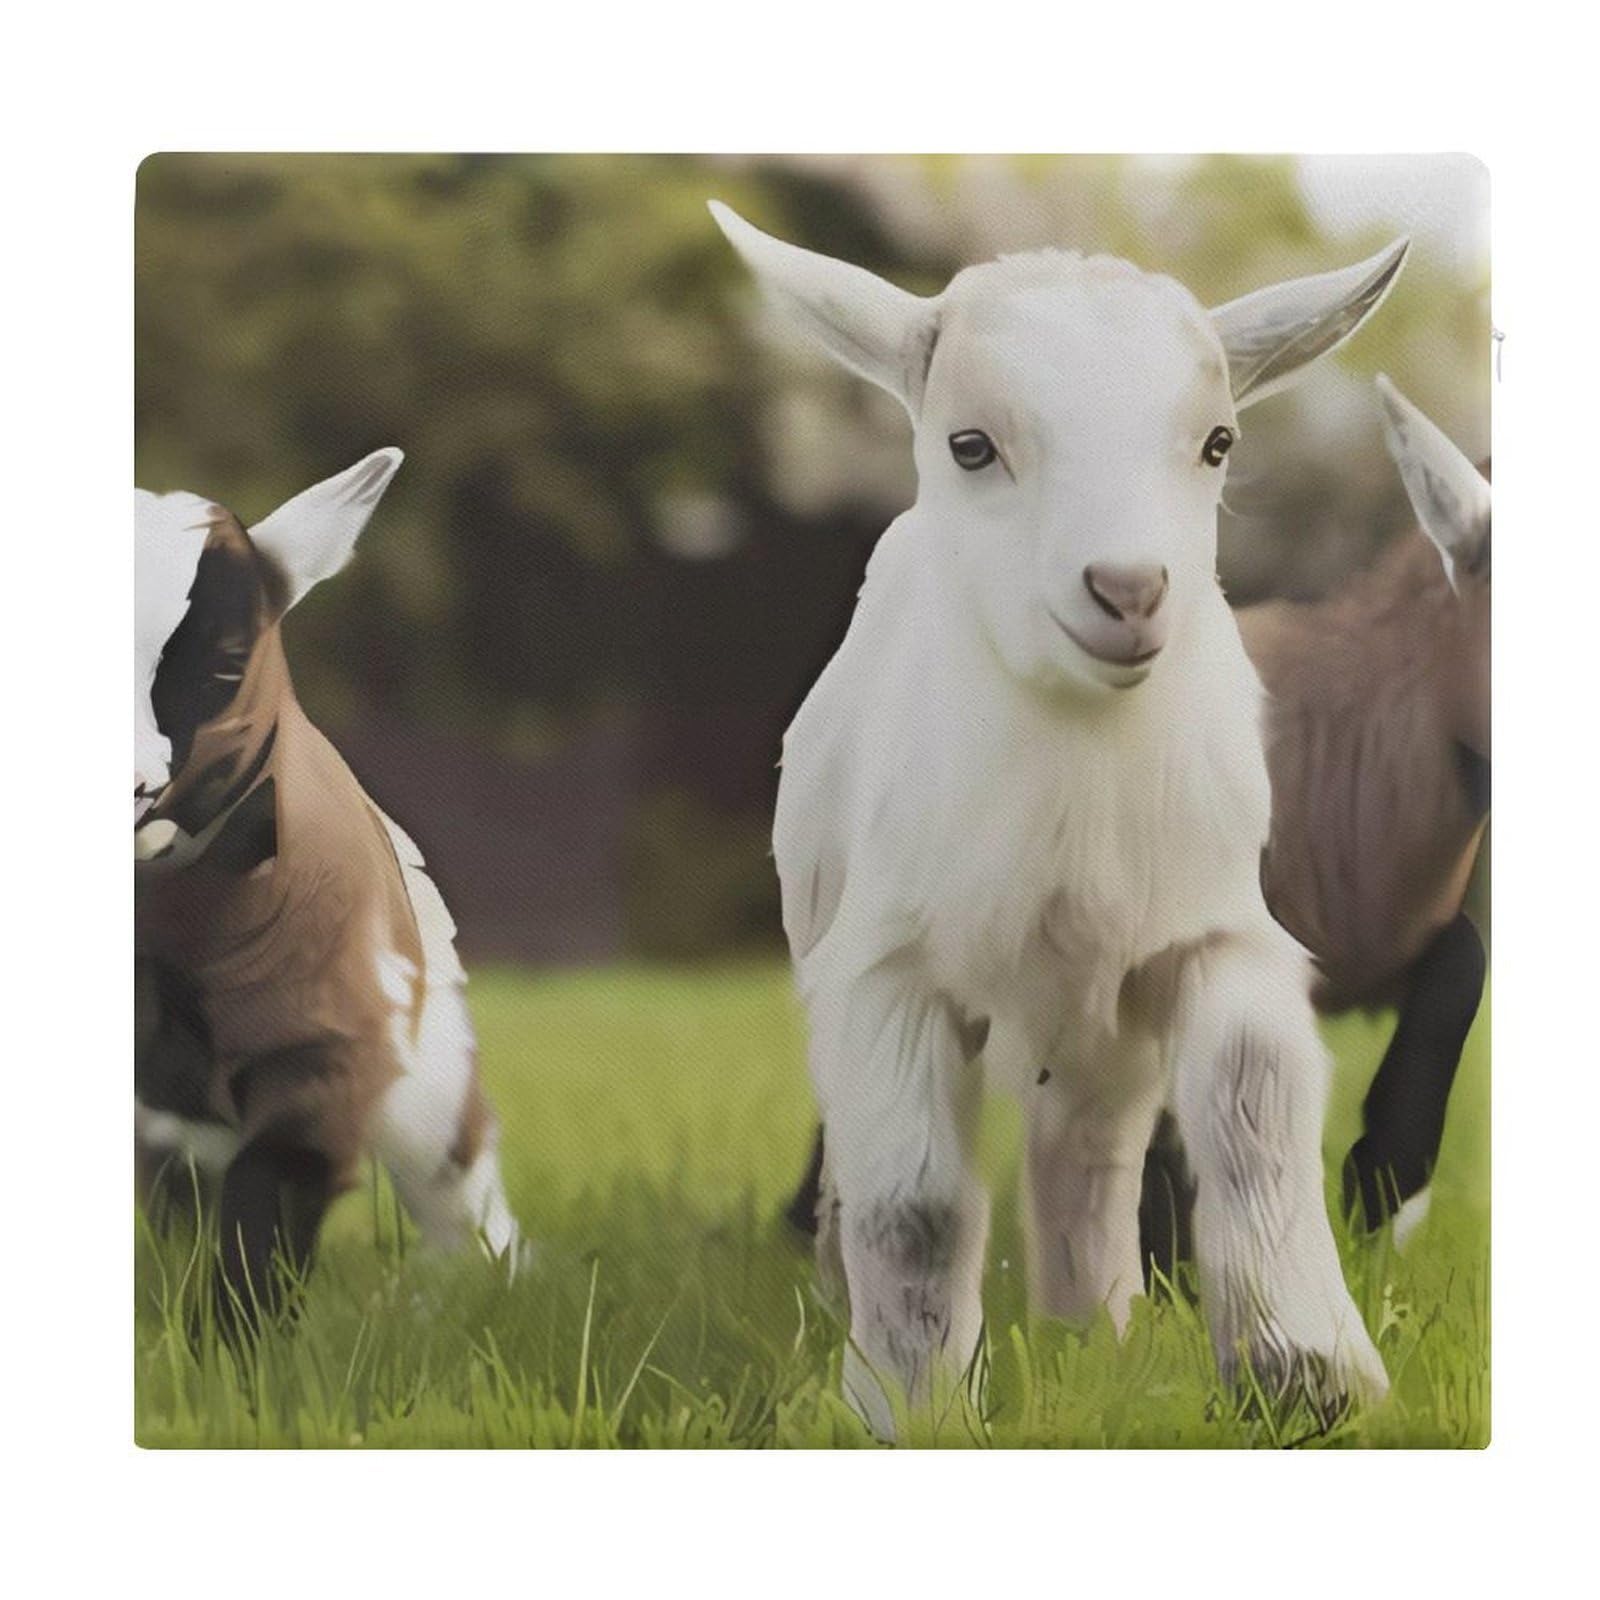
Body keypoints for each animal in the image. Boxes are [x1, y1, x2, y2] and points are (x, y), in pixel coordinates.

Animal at [135, 450, 519, 1331]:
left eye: (226, 664)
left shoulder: (324, 1046)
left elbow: (270, 1190)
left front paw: (233, 1350)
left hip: (428, 1072)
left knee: (455, 1170)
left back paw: (470, 1290)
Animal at [712, 201, 1405, 1433]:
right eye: (970, 445)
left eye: (1218, 444)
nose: (1128, 591)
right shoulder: (884, 969)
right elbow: (915, 1201)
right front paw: (911, 1408)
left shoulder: (1211, 929)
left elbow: (1253, 1115)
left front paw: (1308, 1376)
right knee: (866, 1156)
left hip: (1098, 1018)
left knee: (1086, 1147)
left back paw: (1098, 1329)